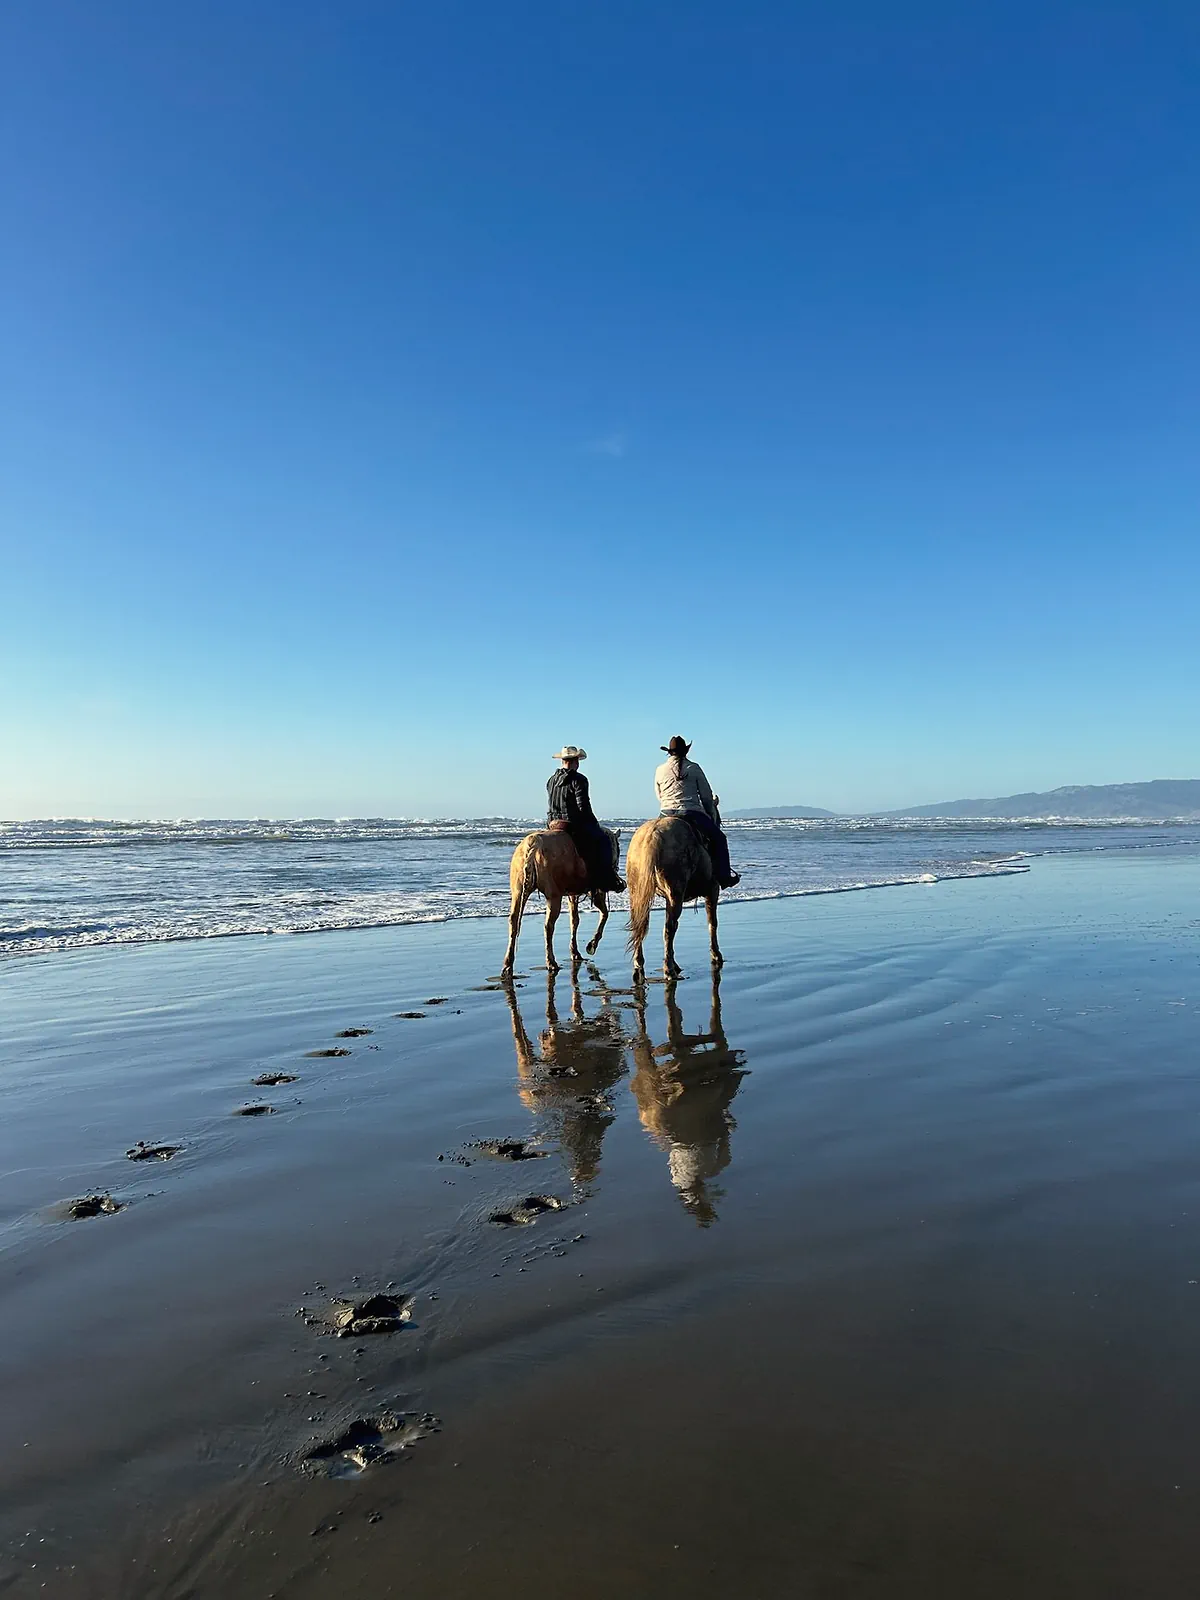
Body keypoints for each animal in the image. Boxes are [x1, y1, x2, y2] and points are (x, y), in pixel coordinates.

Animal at [500, 826, 622, 976]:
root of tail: (532, 843)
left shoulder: (572, 894)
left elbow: (574, 921)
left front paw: (575, 952)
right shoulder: (598, 892)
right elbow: (604, 914)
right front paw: (592, 944)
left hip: (518, 892)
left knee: (513, 922)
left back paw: (508, 965)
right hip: (553, 897)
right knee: (548, 926)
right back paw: (551, 962)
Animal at [626, 815, 722, 977]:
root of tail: (652, 835)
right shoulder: (713, 889)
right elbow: (712, 922)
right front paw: (716, 955)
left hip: (637, 894)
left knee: (639, 924)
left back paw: (640, 962)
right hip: (675, 895)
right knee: (669, 929)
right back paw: (669, 969)